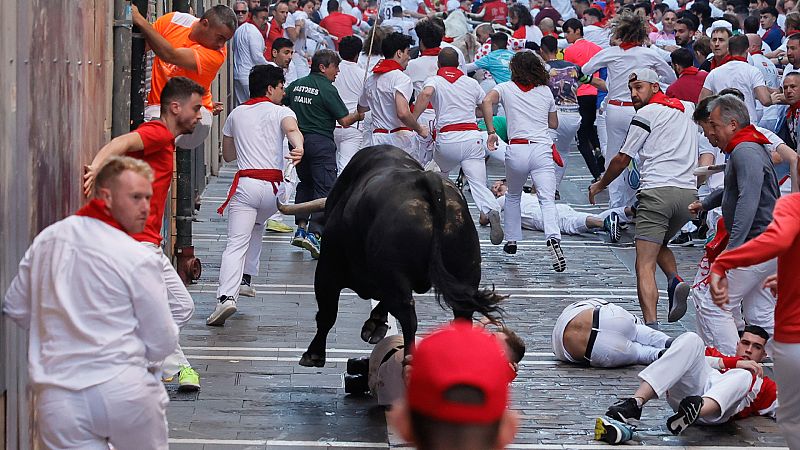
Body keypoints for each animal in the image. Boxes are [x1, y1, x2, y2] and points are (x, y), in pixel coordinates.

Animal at [284, 146, 504, 368]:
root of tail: (427, 181)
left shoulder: (328, 270)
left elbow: (327, 314)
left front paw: (313, 354)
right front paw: (374, 326)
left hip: (390, 272)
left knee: (408, 314)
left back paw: (409, 358)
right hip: (465, 272)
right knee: (461, 315)